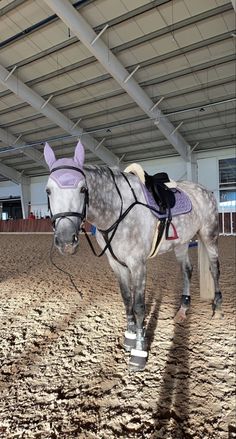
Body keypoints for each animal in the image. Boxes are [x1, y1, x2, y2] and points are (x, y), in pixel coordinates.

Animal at [44, 141, 223, 372]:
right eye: (48, 190)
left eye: (83, 189)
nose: (66, 241)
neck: (117, 210)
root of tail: (205, 190)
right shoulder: (117, 264)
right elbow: (126, 299)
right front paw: (129, 337)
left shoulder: (138, 264)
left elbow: (139, 307)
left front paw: (139, 351)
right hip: (182, 243)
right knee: (187, 270)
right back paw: (183, 310)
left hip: (209, 236)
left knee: (214, 269)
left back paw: (217, 309)